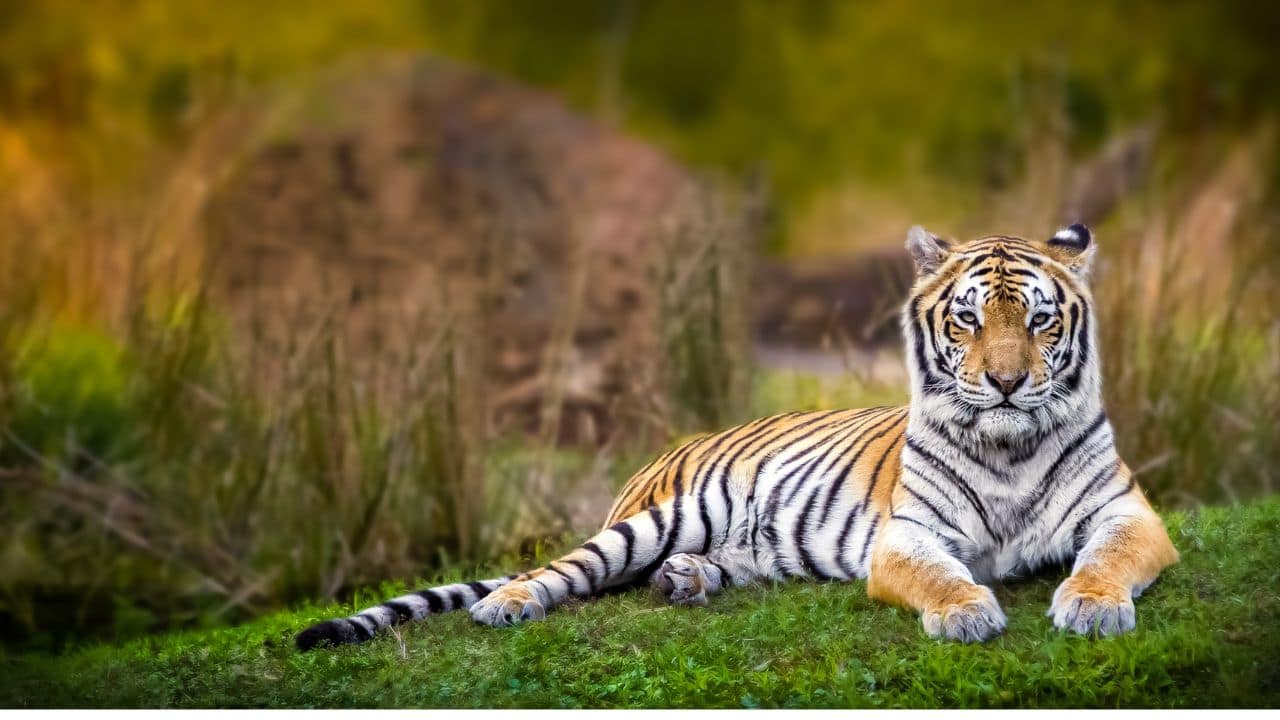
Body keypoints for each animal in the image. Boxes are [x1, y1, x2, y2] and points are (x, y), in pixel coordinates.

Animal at [296, 223, 1178, 649]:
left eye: (1038, 320)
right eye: (967, 320)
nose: (1004, 382)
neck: (1008, 445)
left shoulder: (1130, 513)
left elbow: (1106, 559)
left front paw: (1092, 608)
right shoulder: (909, 535)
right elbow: (938, 576)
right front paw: (966, 613)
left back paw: (686, 581)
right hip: (659, 518)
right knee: (566, 570)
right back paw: (508, 604)